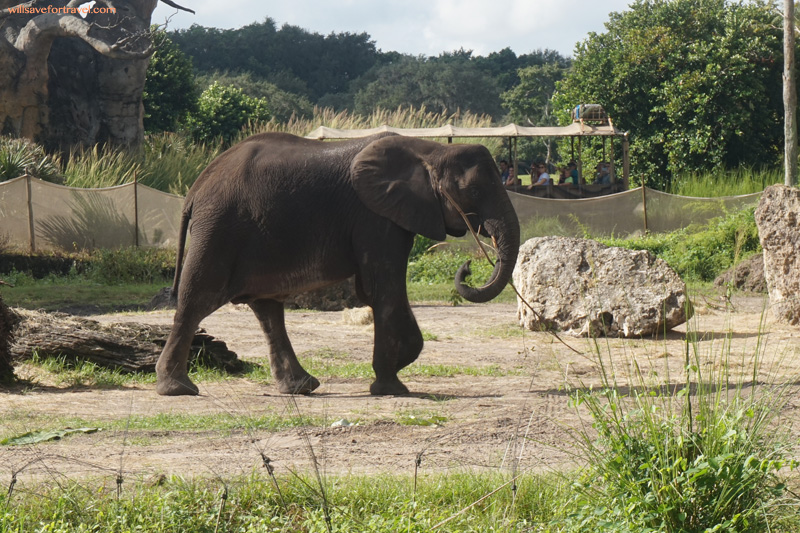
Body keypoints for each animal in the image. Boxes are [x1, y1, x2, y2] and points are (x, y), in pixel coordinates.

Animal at [155, 132, 520, 397]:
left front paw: (398, 367)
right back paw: (178, 389)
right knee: (197, 299)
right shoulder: (375, 217)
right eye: (474, 191)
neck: (430, 150)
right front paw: (392, 387)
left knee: (267, 307)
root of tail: (195, 188)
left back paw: (301, 387)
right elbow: (382, 287)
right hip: (220, 229)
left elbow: (375, 290)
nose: (468, 267)